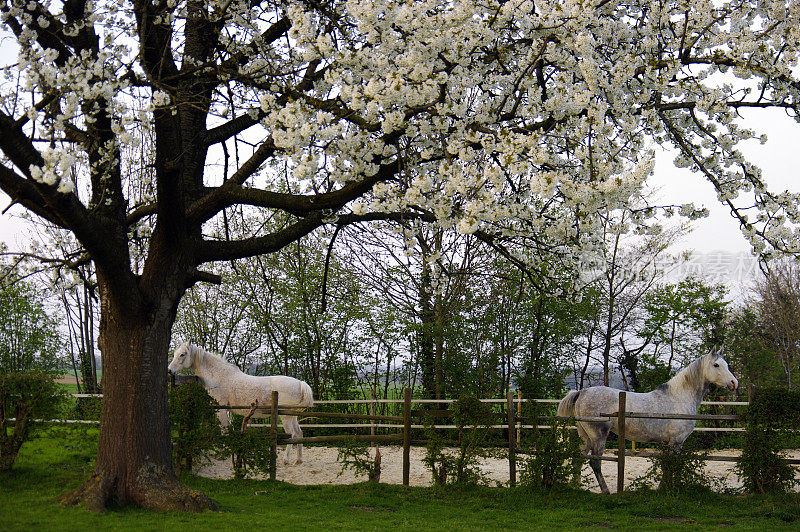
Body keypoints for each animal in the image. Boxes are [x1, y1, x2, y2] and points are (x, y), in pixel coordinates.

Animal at [167, 342, 314, 464]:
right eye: (175, 353)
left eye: (182, 354)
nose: (169, 370)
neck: (219, 376)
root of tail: (300, 383)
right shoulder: (228, 410)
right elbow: (229, 429)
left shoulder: (221, 409)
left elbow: (224, 430)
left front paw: (224, 453)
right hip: (292, 416)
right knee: (299, 434)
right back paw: (299, 460)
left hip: (285, 417)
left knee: (292, 435)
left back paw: (286, 460)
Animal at [556, 350, 736, 494]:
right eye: (716, 365)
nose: (734, 383)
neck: (678, 397)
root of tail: (581, 392)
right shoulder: (677, 441)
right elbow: (672, 465)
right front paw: (669, 489)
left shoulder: (667, 443)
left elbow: (666, 465)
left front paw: (663, 488)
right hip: (598, 437)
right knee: (595, 462)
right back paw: (606, 491)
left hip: (585, 437)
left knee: (578, 459)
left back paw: (576, 487)